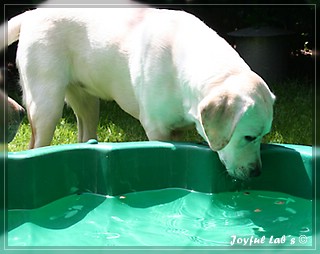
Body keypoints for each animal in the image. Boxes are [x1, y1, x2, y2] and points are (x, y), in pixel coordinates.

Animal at [5, 7, 276, 181]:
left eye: (264, 136)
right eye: (249, 137)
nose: (257, 172)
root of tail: (32, 14)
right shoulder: (157, 129)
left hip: (87, 104)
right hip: (46, 107)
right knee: (36, 144)